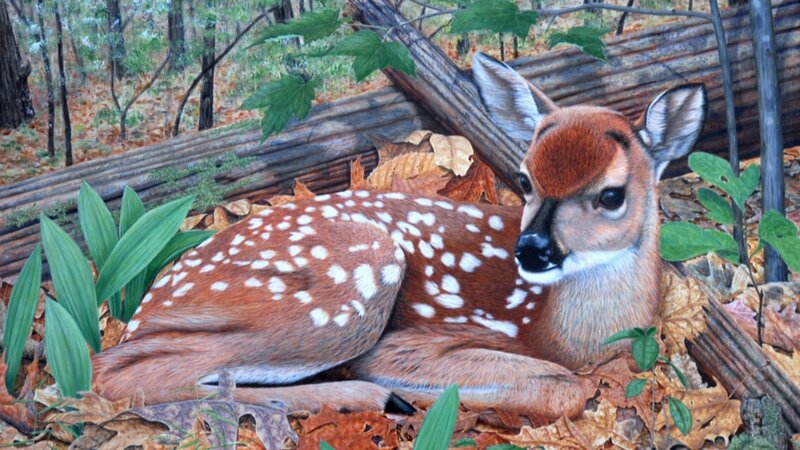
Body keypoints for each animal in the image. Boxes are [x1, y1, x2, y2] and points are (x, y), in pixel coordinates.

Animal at [92, 52, 707, 422]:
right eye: (525, 179)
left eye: (611, 195)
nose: (531, 250)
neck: (561, 330)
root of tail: (147, 302)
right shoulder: (418, 338)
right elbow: (563, 388)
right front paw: (417, 394)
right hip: (346, 293)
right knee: (122, 375)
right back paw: (372, 397)